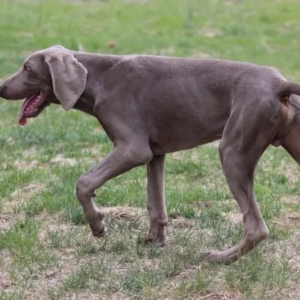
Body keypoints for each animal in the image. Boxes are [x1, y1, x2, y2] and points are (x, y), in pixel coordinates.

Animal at [0, 45, 300, 262]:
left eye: (27, 67)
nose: (1, 87)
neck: (99, 79)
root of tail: (280, 83)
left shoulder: (133, 149)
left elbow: (83, 183)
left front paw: (98, 226)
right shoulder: (155, 154)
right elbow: (155, 203)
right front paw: (155, 241)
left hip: (233, 150)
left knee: (256, 227)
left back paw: (221, 258)